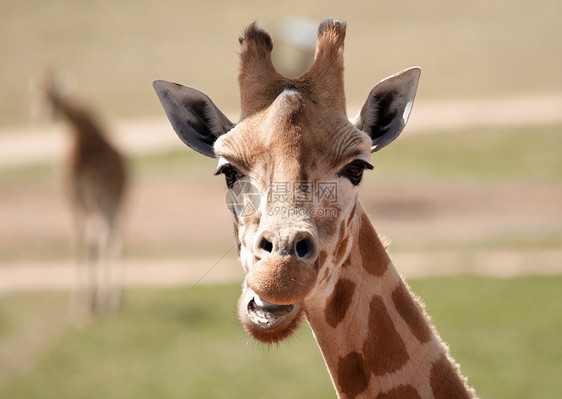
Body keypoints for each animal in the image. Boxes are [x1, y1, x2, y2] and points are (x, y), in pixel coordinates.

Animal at [30, 70, 128, 318]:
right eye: (37, 94)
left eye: (55, 95)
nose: (43, 113)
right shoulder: (72, 196)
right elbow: (79, 242)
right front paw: (81, 307)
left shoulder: (99, 192)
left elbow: (97, 241)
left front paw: (98, 303)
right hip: (98, 204)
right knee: (104, 237)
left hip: (116, 200)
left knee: (114, 237)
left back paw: (114, 300)